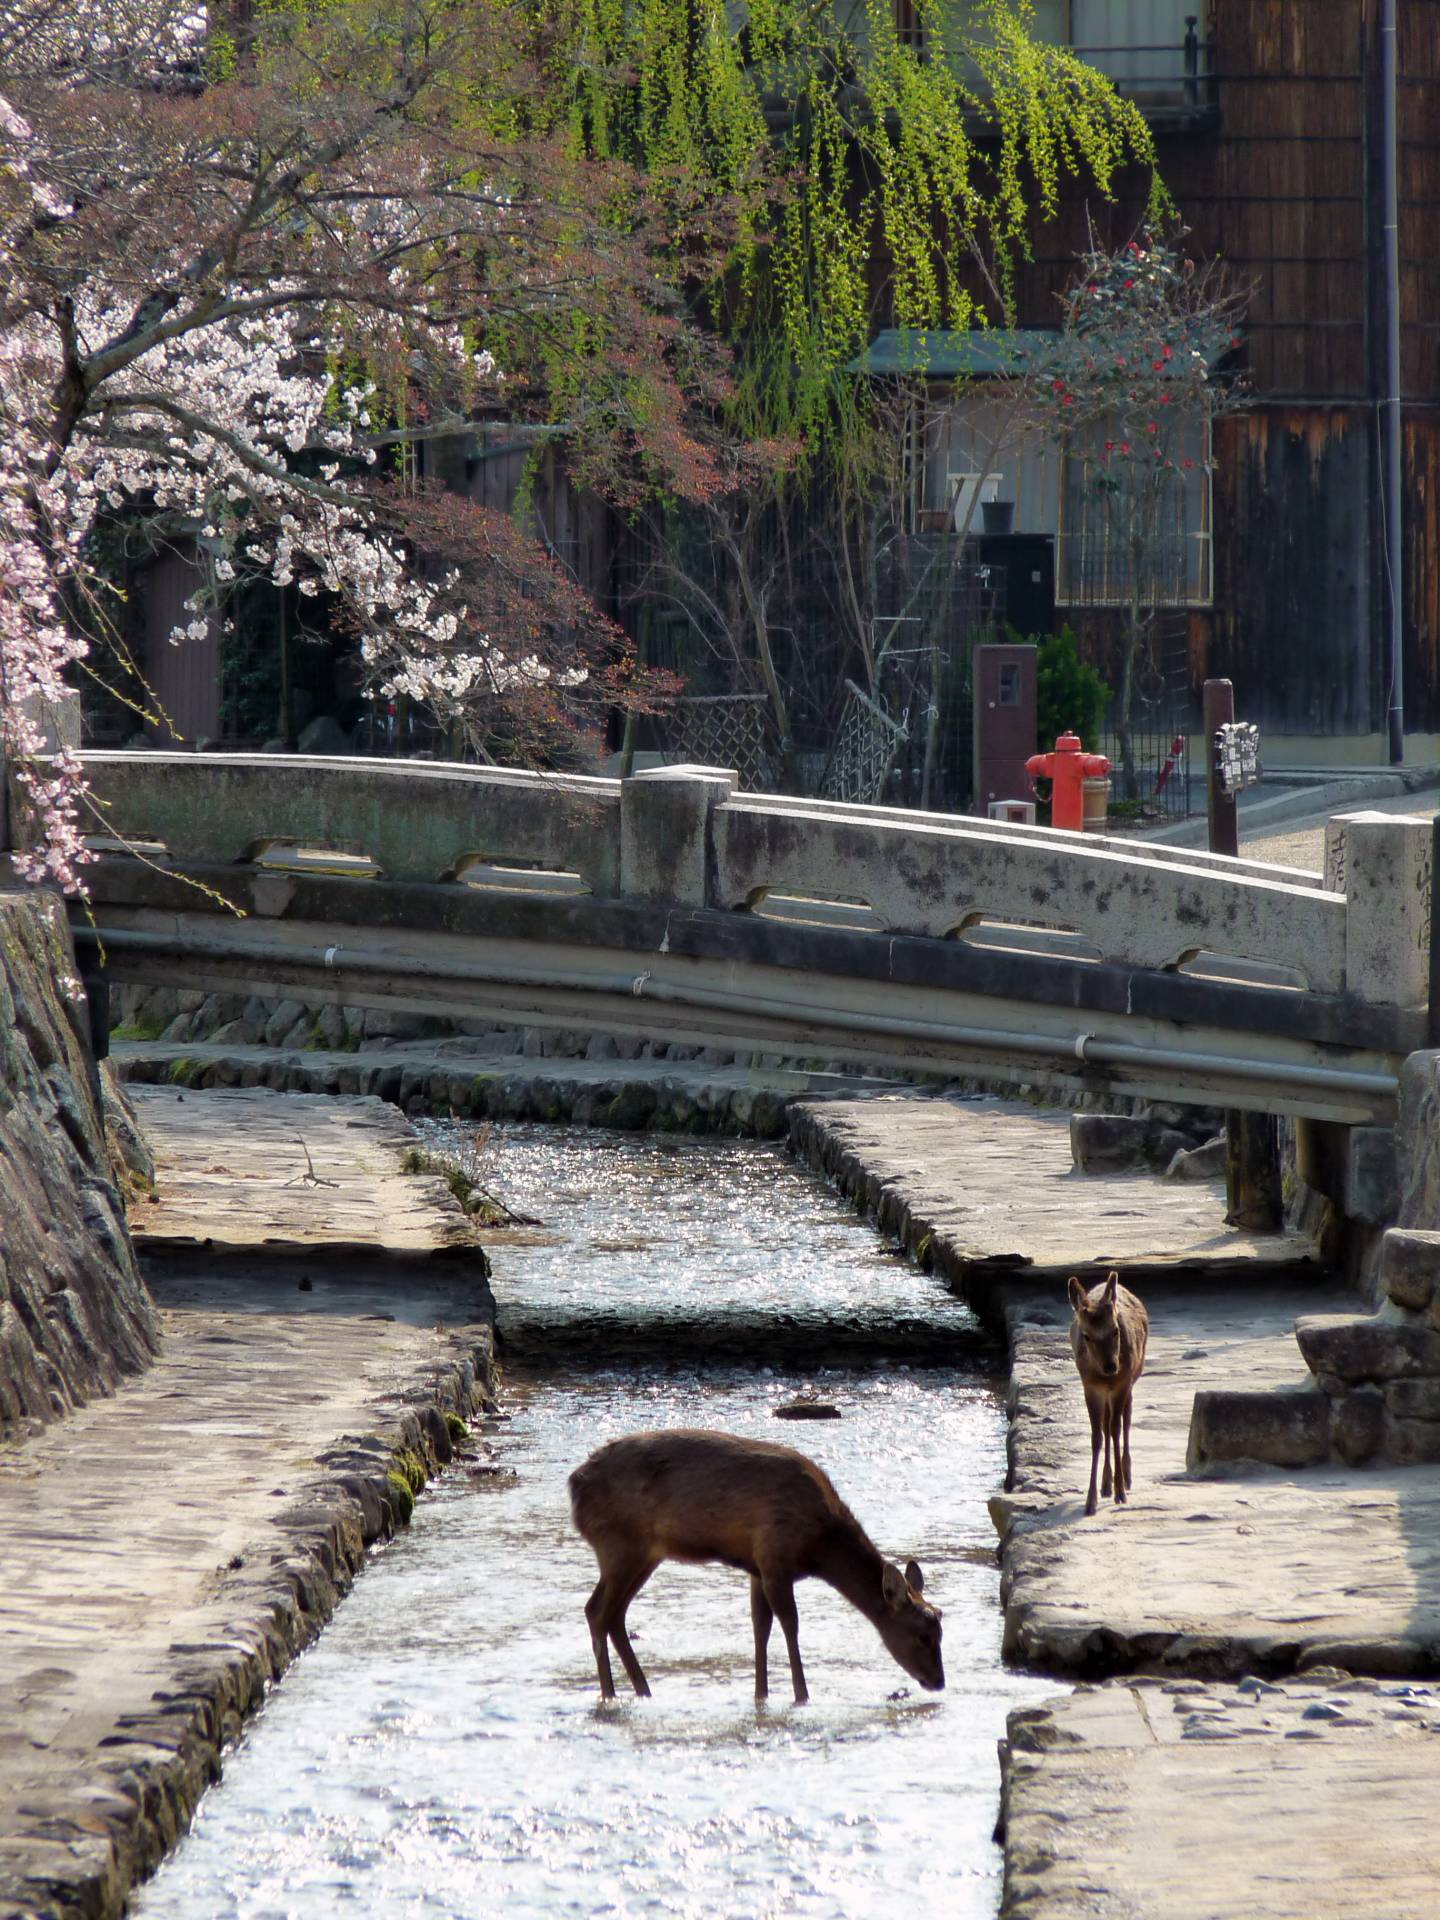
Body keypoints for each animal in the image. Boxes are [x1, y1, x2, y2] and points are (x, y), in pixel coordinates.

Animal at [564, 1428, 948, 1712]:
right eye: (923, 1635)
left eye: (941, 1629)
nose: (938, 1681)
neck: (818, 1546)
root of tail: (573, 1485)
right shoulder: (774, 1556)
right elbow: (790, 1625)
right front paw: (801, 1695)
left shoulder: (756, 1568)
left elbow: (759, 1627)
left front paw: (761, 1695)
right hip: (619, 1544)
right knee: (597, 1610)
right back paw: (610, 1695)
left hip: (643, 1553)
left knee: (615, 1614)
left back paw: (642, 1690)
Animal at [1075, 1267, 1152, 1520]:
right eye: (1086, 1335)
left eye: (1116, 1330)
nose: (1111, 1366)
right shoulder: (1090, 1386)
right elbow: (1097, 1436)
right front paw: (1090, 1501)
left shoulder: (1122, 1383)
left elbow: (1116, 1429)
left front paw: (1121, 1493)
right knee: (1107, 1424)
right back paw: (1106, 1483)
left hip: (1133, 1376)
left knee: (1124, 1419)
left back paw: (1125, 1477)